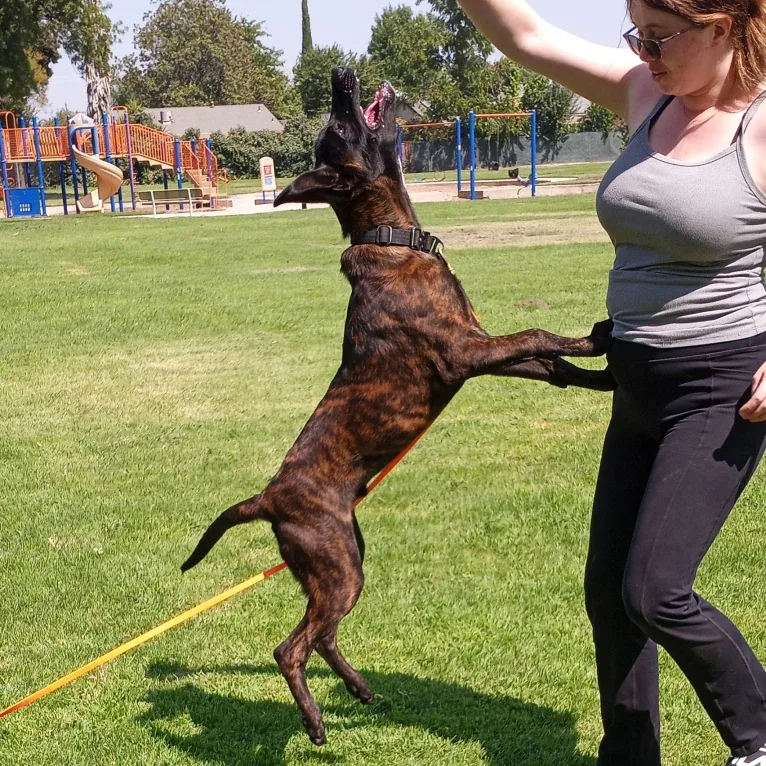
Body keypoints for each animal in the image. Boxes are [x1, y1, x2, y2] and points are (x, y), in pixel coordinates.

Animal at [182, 67, 616, 752]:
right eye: (339, 124)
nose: (341, 74)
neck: (395, 240)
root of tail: (267, 498)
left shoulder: (478, 350)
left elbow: (552, 368)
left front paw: (604, 378)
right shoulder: (465, 352)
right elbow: (538, 335)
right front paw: (598, 340)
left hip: (341, 563)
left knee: (321, 637)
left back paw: (359, 691)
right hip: (336, 567)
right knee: (290, 648)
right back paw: (315, 723)